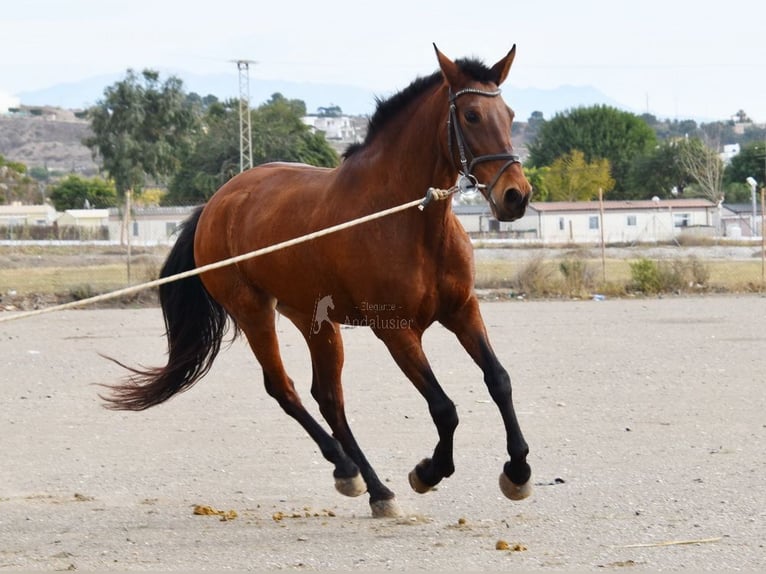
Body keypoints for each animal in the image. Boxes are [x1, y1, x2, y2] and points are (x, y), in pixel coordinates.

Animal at [103, 45, 536, 520]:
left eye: (509, 113)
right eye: (472, 115)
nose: (516, 196)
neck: (408, 221)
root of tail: (216, 204)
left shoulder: (462, 311)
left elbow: (499, 380)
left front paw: (518, 472)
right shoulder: (397, 332)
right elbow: (443, 408)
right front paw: (428, 471)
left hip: (314, 320)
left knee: (328, 397)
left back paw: (370, 485)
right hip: (254, 312)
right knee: (285, 389)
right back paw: (355, 474)